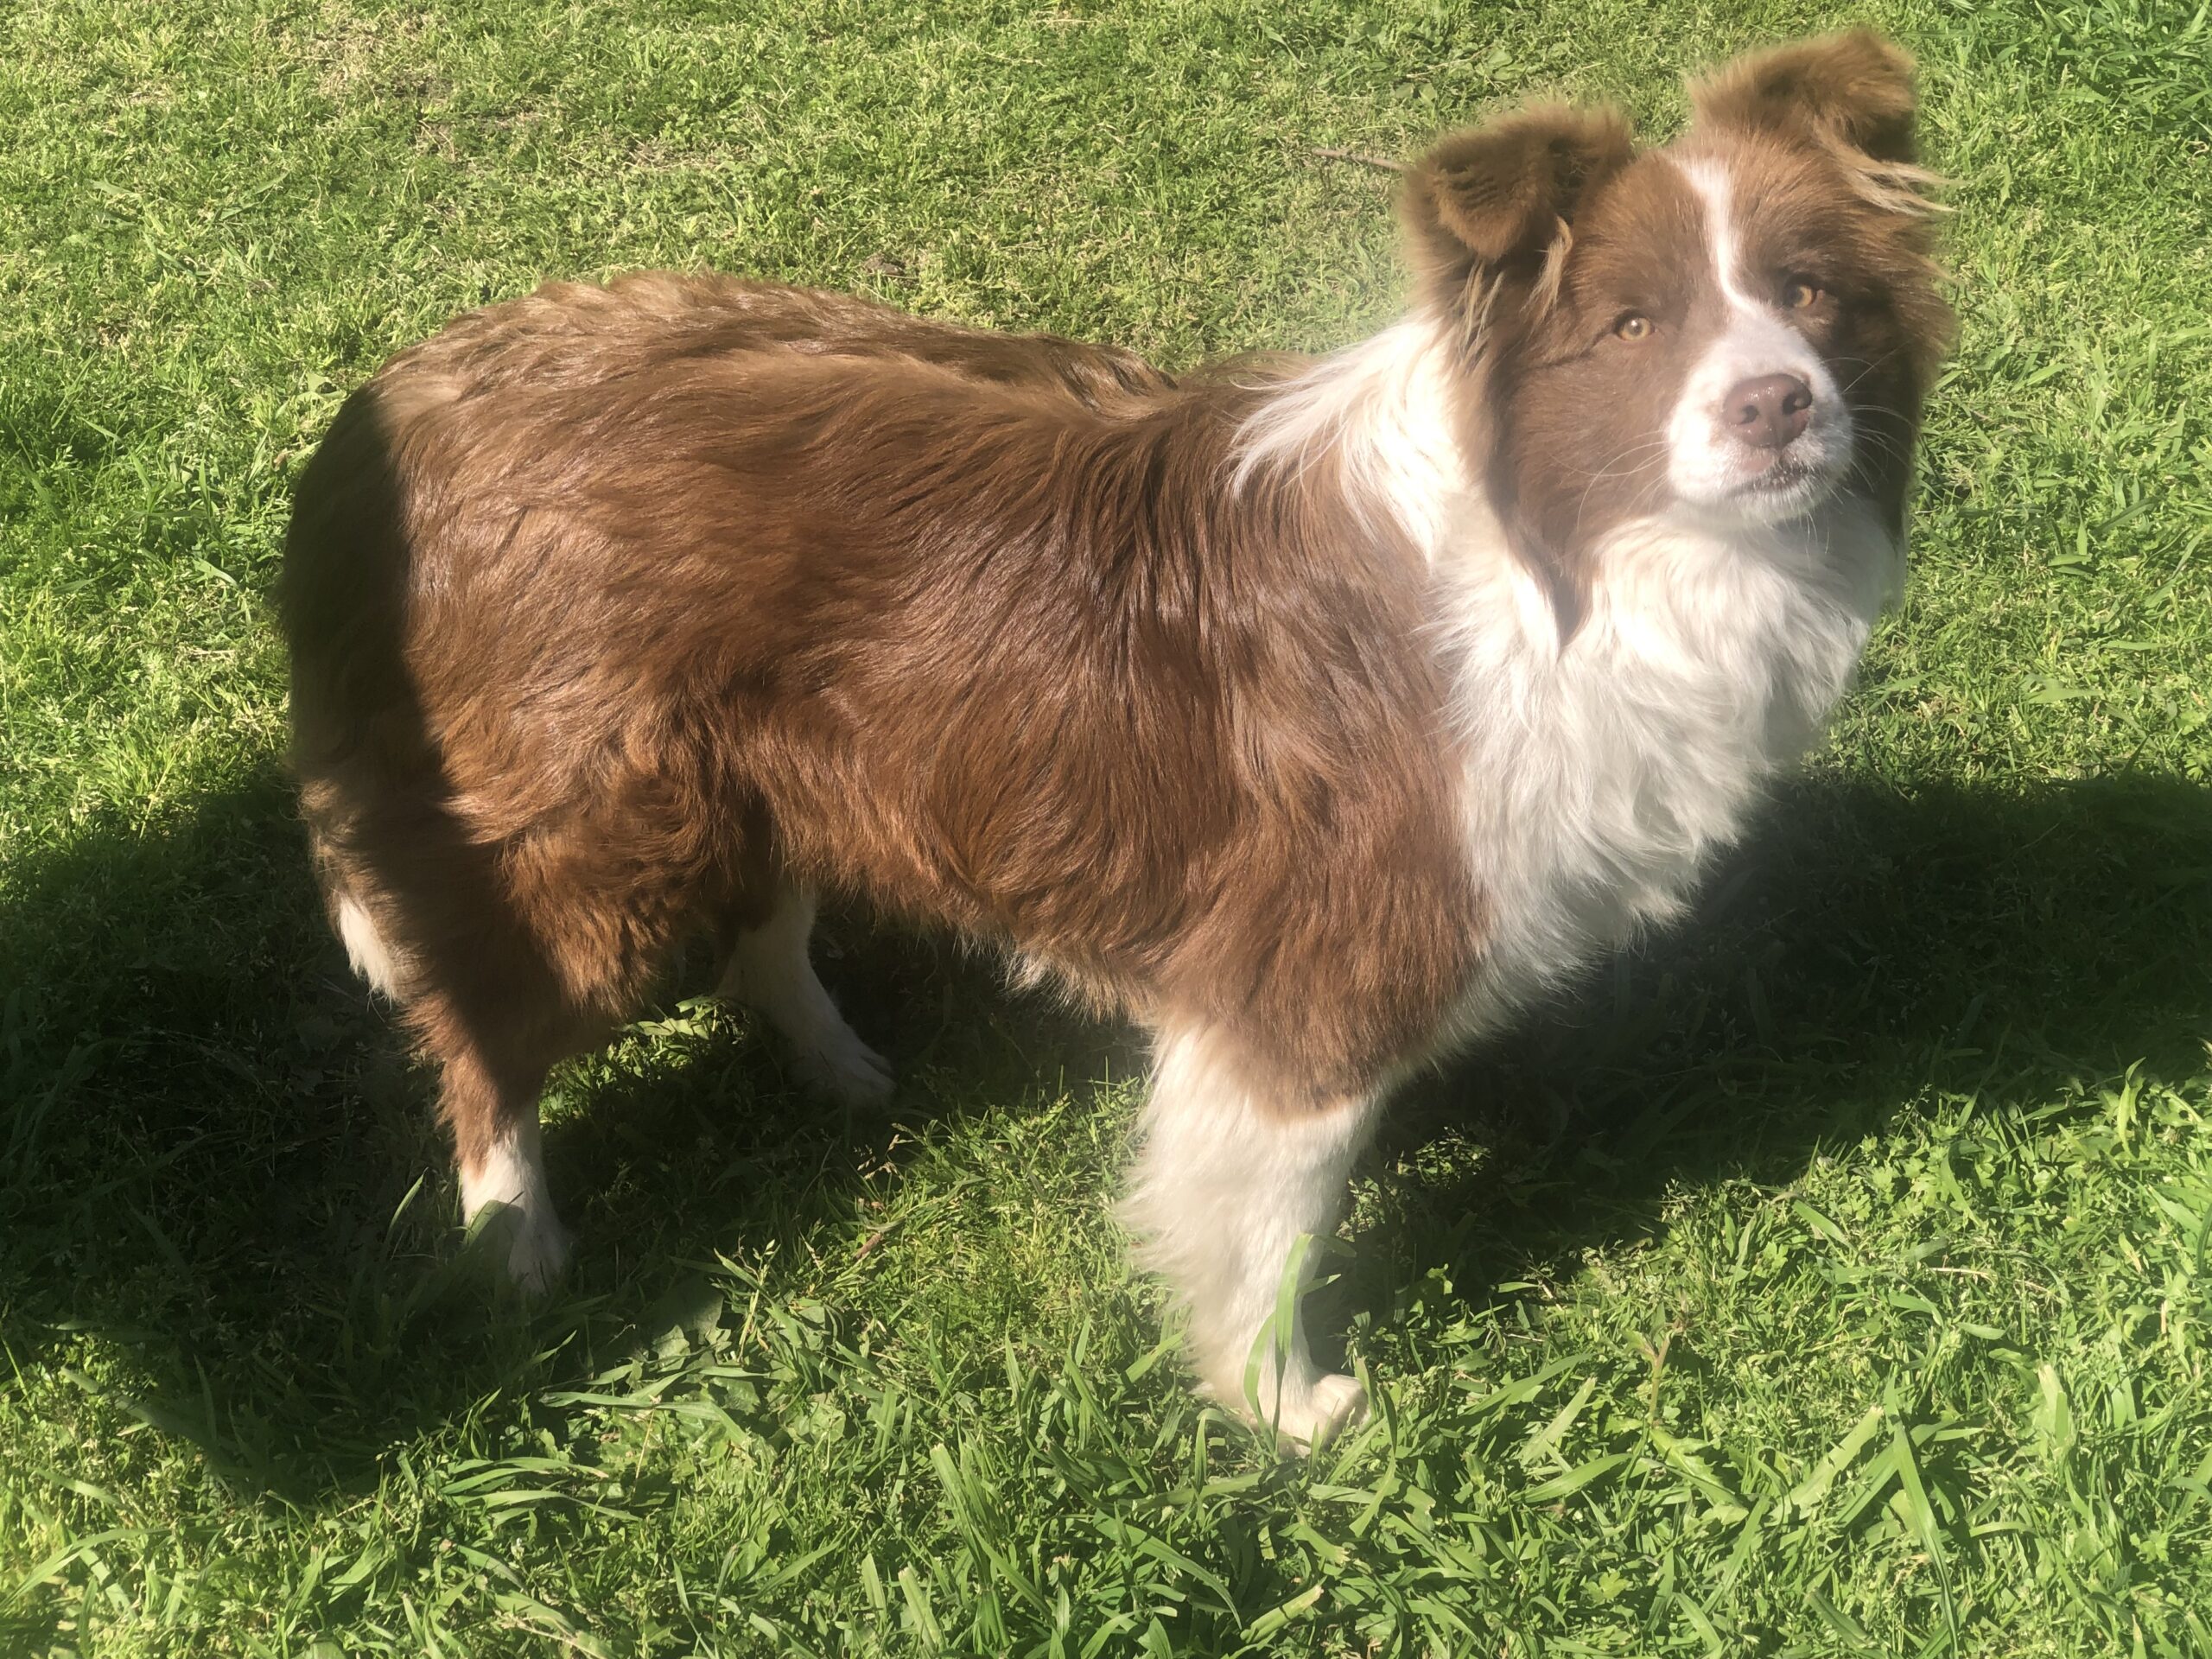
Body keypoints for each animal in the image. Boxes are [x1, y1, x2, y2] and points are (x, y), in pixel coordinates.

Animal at [281, 32, 1955, 1451]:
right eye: (1632, 323)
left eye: (1812, 292)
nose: (1778, 405)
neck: (1565, 559)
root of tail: (403, 393)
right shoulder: (1311, 986)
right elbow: (1268, 1229)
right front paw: (1284, 1413)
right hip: (598, 840)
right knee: (484, 1036)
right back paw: (518, 1247)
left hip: (775, 768)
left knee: (760, 932)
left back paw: (841, 1068)